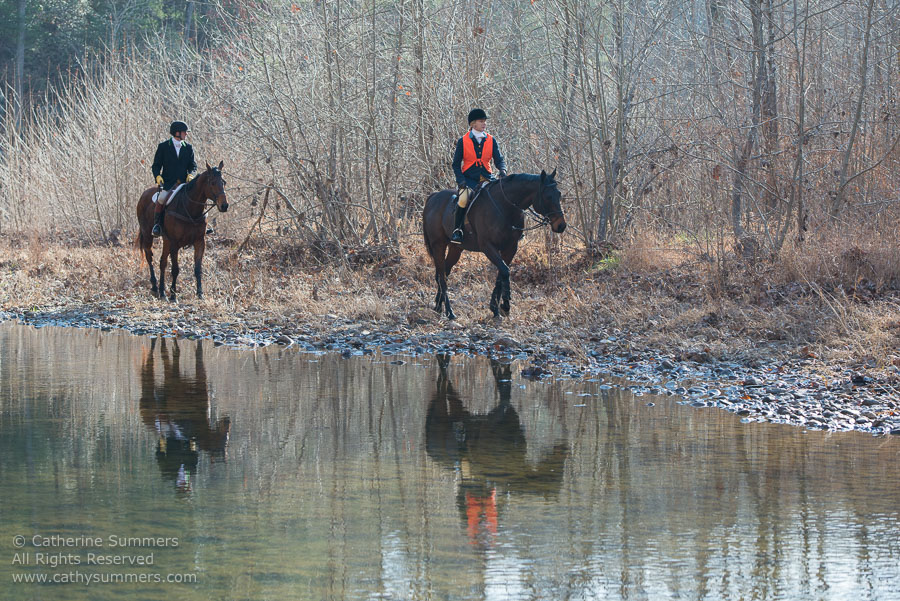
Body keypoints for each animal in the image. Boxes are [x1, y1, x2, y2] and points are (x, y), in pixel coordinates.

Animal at [137, 162, 230, 300]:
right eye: (212, 182)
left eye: (223, 182)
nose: (224, 205)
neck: (190, 209)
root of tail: (144, 194)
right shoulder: (175, 243)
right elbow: (175, 269)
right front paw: (173, 295)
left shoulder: (199, 242)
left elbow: (198, 268)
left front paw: (200, 293)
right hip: (149, 235)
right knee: (149, 257)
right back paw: (154, 287)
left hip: (166, 241)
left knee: (162, 262)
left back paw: (162, 291)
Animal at [424, 169, 568, 318]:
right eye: (548, 196)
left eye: (559, 194)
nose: (561, 225)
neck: (504, 207)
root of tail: (433, 196)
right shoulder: (488, 247)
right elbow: (504, 271)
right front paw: (505, 304)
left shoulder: (510, 248)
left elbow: (502, 273)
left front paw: (495, 307)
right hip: (438, 245)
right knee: (442, 277)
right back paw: (449, 311)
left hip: (455, 249)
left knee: (444, 273)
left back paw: (438, 305)